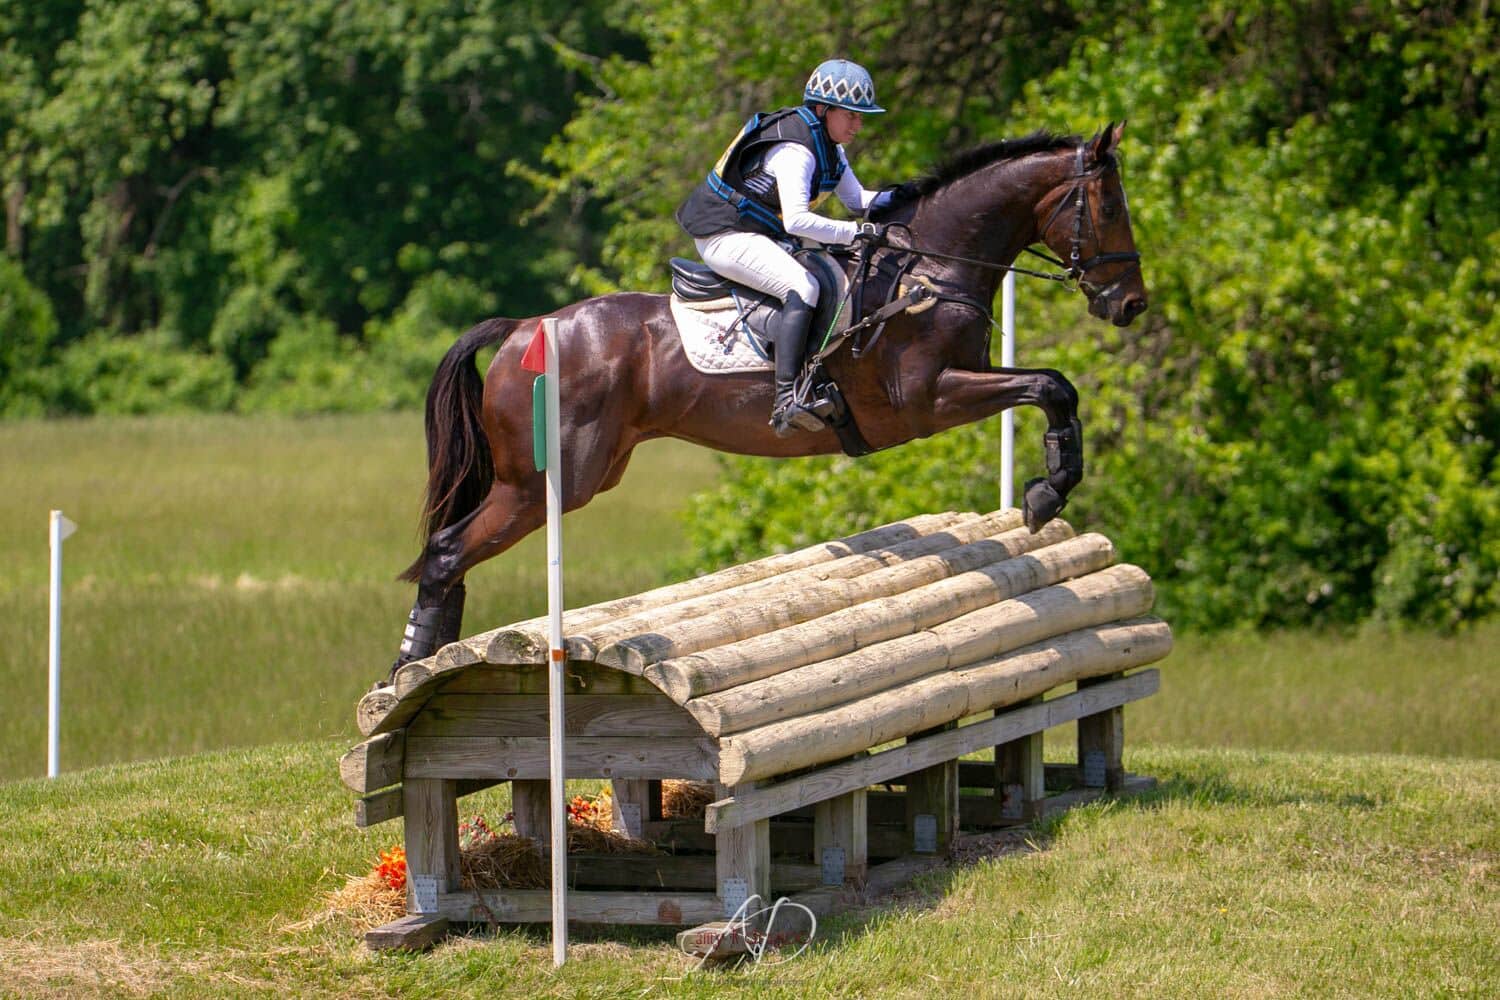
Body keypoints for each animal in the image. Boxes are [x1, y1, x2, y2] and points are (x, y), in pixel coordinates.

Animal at [387, 122, 1146, 671]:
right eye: (1108, 206)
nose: (1130, 304)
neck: (929, 267)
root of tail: (523, 328)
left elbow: (1054, 386)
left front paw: (1050, 488)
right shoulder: (927, 401)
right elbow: (1051, 385)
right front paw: (1046, 494)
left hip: (580, 473)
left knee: (450, 553)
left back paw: (424, 668)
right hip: (547, 481)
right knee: (448, 550)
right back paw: (407, 669)